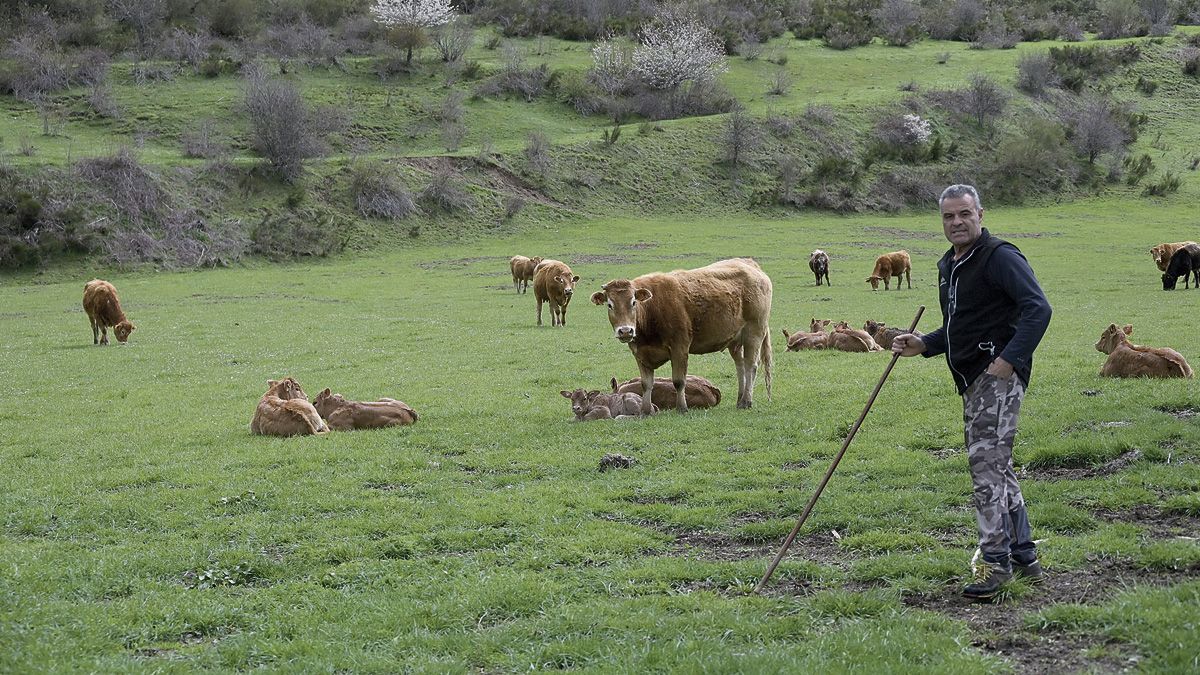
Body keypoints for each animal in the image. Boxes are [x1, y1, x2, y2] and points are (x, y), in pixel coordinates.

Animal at [592, 257, 777, 413]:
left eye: (633, 302)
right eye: (610, 305)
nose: (625, 331)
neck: (652, 309)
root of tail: (750, 264)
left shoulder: (679, 347)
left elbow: (679, 381)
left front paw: (682, 407)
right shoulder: (640, 354)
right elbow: (646, 384)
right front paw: (645, 410)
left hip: (754, 332)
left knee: (751, 366)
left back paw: (747, 401)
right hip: (735, 341)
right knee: (741, 367)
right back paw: (740, 399)